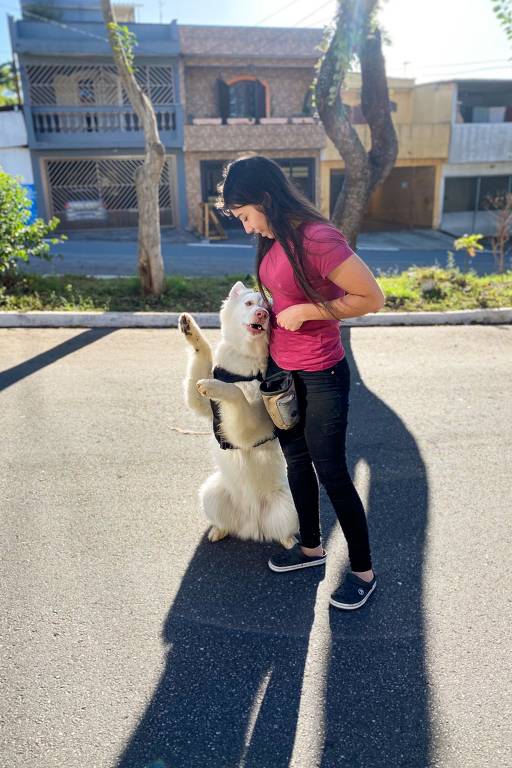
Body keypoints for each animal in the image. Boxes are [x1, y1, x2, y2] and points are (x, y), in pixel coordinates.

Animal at [180, 280, 300, 548]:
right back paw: (219, 530)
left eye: (268, 310)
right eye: (249, 303)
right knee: (225, 522)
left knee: (286, 529)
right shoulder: (202, 405)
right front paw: (191, 330)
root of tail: (252, 524)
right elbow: (203, 358)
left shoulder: (250, 429)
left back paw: (289, 541)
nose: (262, 314)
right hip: (211, 491)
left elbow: (235, 392)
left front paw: (215, 386)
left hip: (290, 503)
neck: (243, 362)